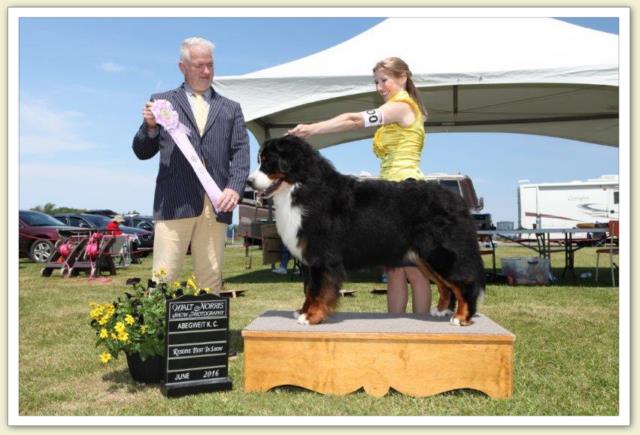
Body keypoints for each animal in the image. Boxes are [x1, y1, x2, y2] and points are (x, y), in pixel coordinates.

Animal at [246, 136, 484, 328]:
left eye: (267, 161)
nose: (249, 181)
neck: (300, 187)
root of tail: (457, 200)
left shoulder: (322, 258)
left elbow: (318, 290)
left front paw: (312, 317)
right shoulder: (309, 259)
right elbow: (309, 289)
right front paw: (303, 311)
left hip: (441, 254)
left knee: (464, 283)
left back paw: (461, 317)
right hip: (425, 259)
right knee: (446, 286)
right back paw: (442, 310)